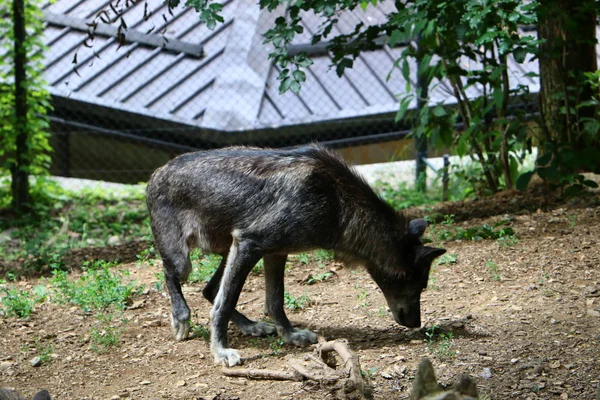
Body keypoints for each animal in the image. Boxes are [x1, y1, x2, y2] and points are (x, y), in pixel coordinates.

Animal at [145, 145, 446, 368]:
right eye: (421, 286)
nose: (417, 324)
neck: (337, 202)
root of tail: (156, 172)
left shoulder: (275, 253)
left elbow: (275, 301)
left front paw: (290, 335)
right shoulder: (250, 244)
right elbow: (225, 304)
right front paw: (220, 352)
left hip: (227, 251)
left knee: (209, 289)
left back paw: (252, 327)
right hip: (186, 261)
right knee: (173, 276)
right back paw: (181, 317)